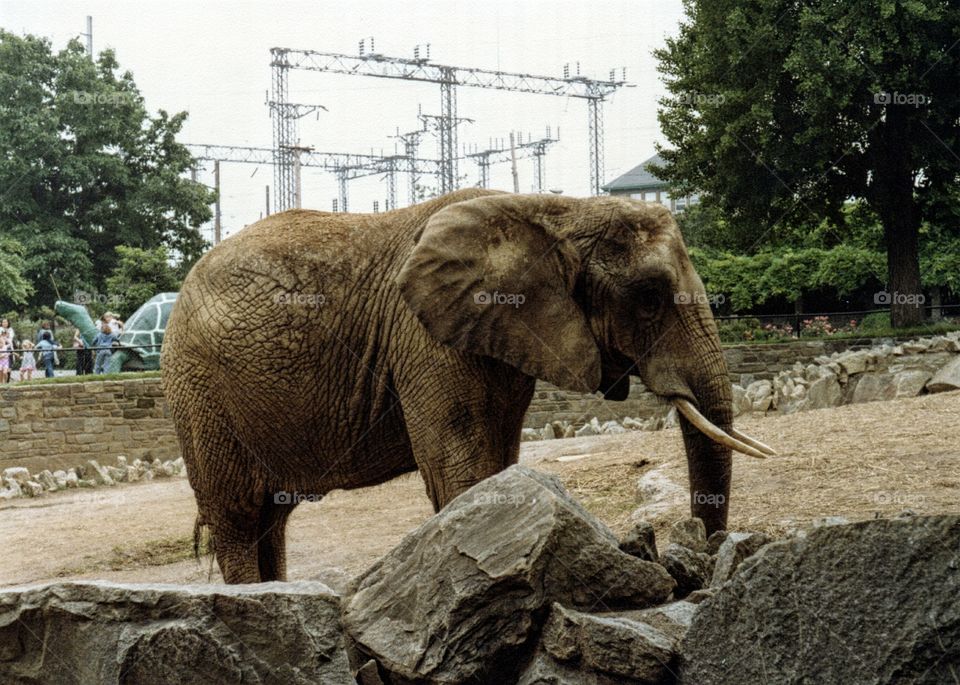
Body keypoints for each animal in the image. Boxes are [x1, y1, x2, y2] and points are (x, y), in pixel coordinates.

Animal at [161, 188, 773, 584]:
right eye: (648, 298)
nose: (696, 561)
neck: (556, 209)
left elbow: (499, 460)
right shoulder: (424, 337)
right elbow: (460, 466)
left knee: (272, 520)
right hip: (198, 391)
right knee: (238, 516)